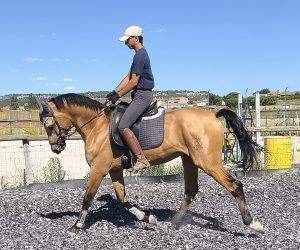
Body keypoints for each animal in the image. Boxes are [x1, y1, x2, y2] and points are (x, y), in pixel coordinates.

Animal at [37, 93, 262, 233]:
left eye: (48, 124)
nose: (56, 148)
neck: (97, 127)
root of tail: (212, 113)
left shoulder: (98, 169)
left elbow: (87, 197)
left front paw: (77, 225)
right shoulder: (114, 170)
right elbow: (123, 199)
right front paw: (147, 218)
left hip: (208, 162)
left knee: (235, 186)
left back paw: (252, 223)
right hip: (189, 160)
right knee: (191, 190)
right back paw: (175, 221)